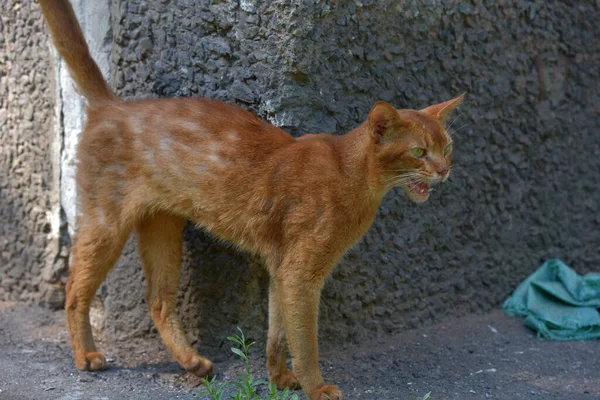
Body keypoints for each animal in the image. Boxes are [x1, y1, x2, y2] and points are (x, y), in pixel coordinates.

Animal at [38, 1, 464, 398]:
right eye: (419, 152)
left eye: (447, 147)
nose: (444, 170)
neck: (351, 174)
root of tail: (113, 105)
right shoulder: (300, 272)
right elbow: (305, 340)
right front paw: (315, 388)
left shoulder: (282, 267)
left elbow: (278, 332)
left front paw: (281, 380)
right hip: (105, 221)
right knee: (75, 288)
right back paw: (86, 356)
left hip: (163, 227)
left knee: (158, 300)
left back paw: (194, 363)